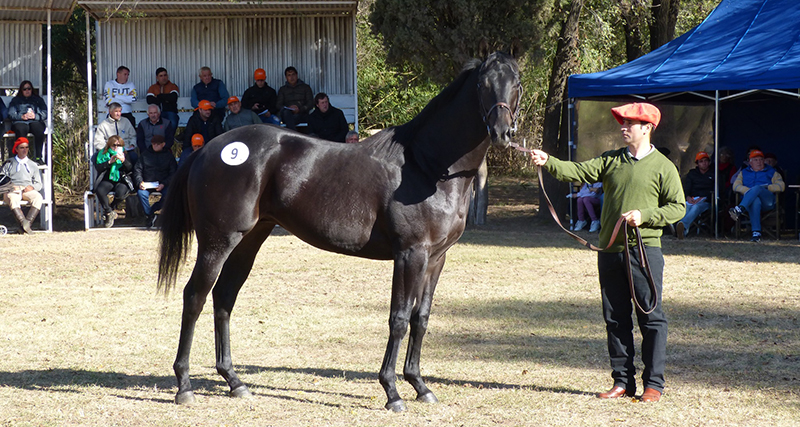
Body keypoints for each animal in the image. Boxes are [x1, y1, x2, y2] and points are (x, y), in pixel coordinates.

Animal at [159, 49, 524, 412]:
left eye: (517, 84)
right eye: (482, 84)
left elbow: (421, 318)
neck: (426, 166)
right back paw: (184, 386)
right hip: (217, 242)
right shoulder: (410, 254)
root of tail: (207, 149)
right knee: (194, 297)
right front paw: (392, 392)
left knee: (224, 297)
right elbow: (399, 318)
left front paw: (420, 386)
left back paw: (234, 381)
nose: (502, 132)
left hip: (248, 242)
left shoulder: (436, 259)